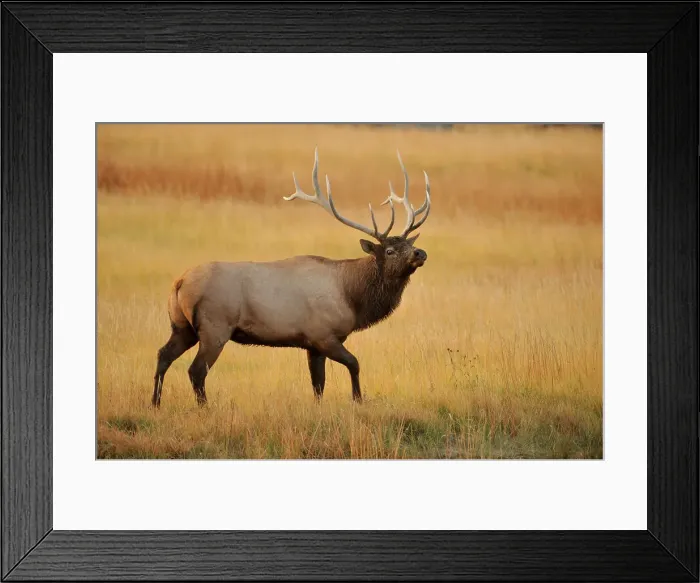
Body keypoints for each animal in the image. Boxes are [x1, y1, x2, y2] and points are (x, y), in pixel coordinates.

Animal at [151, 148, 431, 408]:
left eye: (409, 243)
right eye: (390, 250)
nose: (420, 252)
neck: (352, 298)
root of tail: (179, 283)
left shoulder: (312, 345)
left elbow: (318, 384)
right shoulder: (323, 335)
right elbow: (354, 364)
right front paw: (358, 399)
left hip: (182, 326)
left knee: (163, 355)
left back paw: (155, 403)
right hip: (215, 326)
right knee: (196, 370)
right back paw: (204, 408)